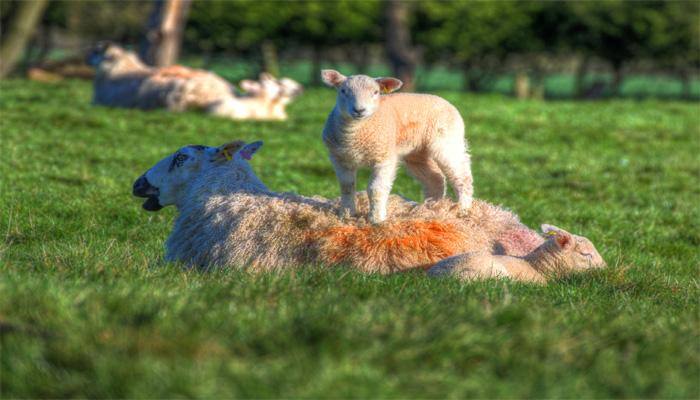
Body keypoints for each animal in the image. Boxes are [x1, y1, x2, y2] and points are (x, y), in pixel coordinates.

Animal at [322, 70, 476, 223]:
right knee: (435, 179)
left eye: (376, 92)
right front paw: (346, 215)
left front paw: (376, 219)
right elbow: (346, 187)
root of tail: (445, 101)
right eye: (343, 91)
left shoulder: (384, 157)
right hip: (417, 153)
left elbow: (376, 189)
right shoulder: (339, 159)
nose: (359, 110)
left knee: (462, 176)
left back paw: (462, 209)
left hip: (447, 141)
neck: (355, 136)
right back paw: (428, 209)